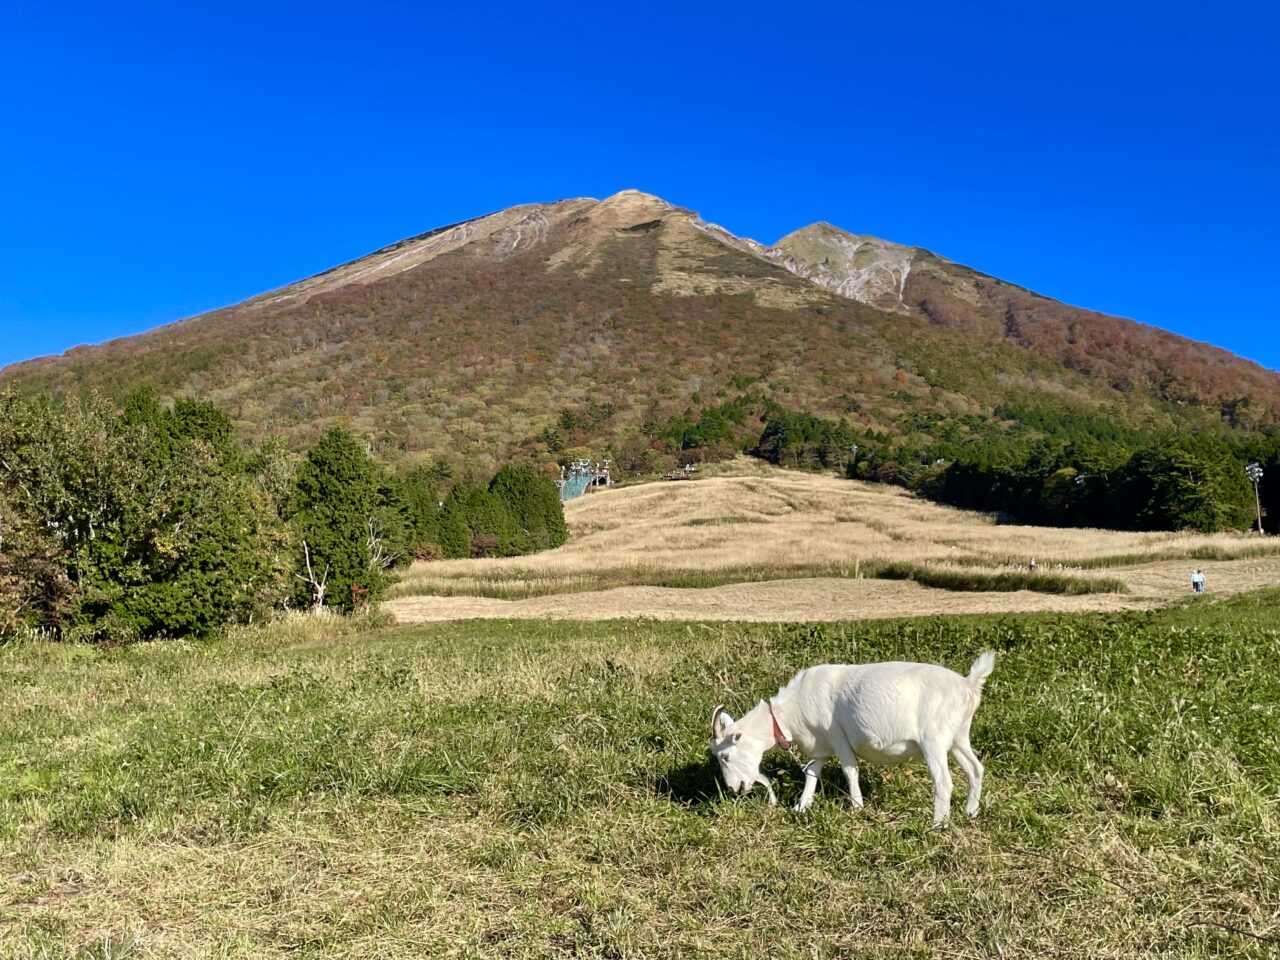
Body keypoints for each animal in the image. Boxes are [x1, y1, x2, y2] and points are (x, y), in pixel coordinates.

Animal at [706, 655, 993, 829]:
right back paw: (971, 812)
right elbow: (812, 774)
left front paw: (856, 808)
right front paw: (801, 807)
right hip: (958, 737)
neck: (790, 713)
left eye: (726, 756)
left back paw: (937, 825)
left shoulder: (837, 736)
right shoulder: (820, 746)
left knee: (944, 780)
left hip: (934, 738)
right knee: (975, 769)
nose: (732, 789)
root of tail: (969, 685)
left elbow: (850, 770)